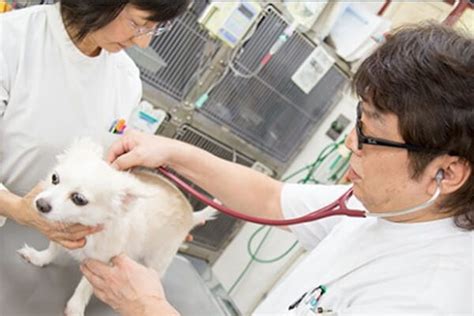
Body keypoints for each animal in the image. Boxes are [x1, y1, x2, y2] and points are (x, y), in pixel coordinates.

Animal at [16, 138, 213, 316]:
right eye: (54, 178)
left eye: (79, 199)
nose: (41, 204)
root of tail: (190, 214)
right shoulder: (62, 235)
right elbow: (53, 249)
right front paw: (39, 258)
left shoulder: (102, 263)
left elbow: (84, 287)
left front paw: (75, 308)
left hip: (158, 259)